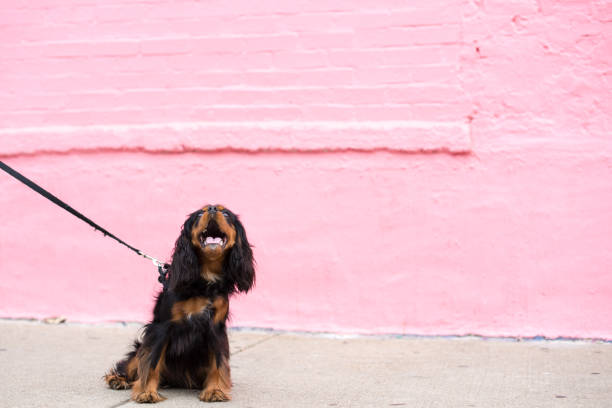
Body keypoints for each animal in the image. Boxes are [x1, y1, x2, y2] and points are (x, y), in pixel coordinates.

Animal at [105, 206, 256, 404]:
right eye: (200, 214)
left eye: (226, 214)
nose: (212, 209)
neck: (205, 281)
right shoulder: (162, 327)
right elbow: (152, 360)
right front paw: (147, 393)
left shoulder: (215, 327)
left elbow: (218, 361)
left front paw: (215, 390)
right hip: (139, 349)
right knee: (132, 361)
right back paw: (118, 379)